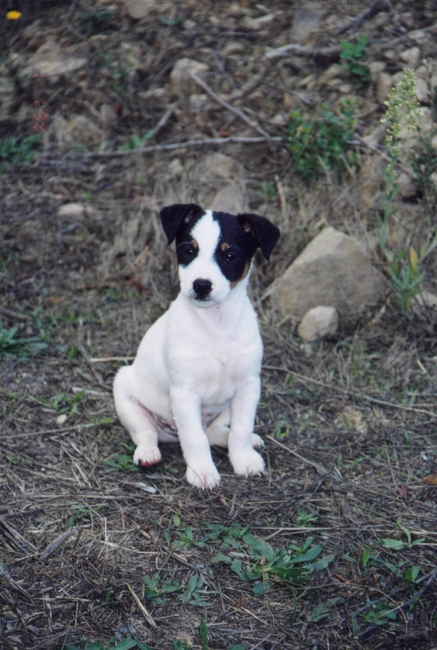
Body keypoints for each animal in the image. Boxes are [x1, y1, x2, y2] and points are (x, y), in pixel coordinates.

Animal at [113, 203, 280, 489]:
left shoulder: (248, 385)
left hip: (224, 408)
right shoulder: (184, 392)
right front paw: (202, 471)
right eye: (188, 250)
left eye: (230, 255)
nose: (201, 285)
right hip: (124, 391)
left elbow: (241, 429)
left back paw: (250, 441)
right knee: (146, 432)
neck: (216, 325)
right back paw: (148, 453)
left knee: (216, 431)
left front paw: (244, 459)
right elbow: (194, 438)